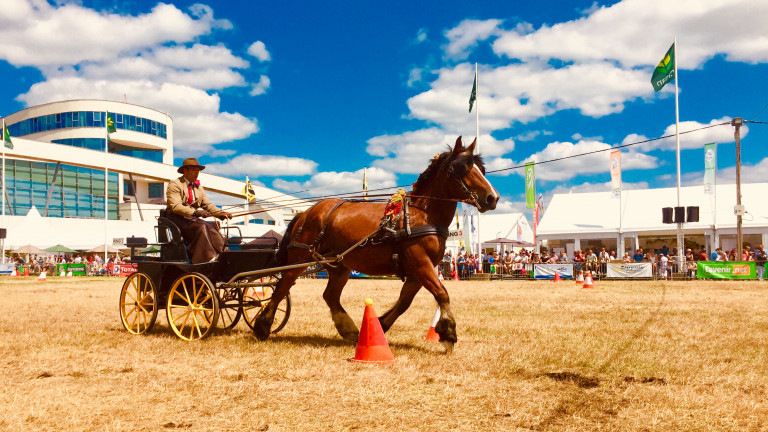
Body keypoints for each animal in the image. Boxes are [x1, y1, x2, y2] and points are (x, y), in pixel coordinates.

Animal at [254, 137, 498, 352]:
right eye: (462, 169)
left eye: (481, 169)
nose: (492, 197)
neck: (421, 214)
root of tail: (306, 212)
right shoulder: (421, 264)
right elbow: (442, 294)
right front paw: (448, 335)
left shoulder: (417, 271)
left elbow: (404, 302)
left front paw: (378, 325)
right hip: (300, 259)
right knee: (283, 286)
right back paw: (262, 327)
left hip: (339, 265)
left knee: (330, 296)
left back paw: (350, 330)